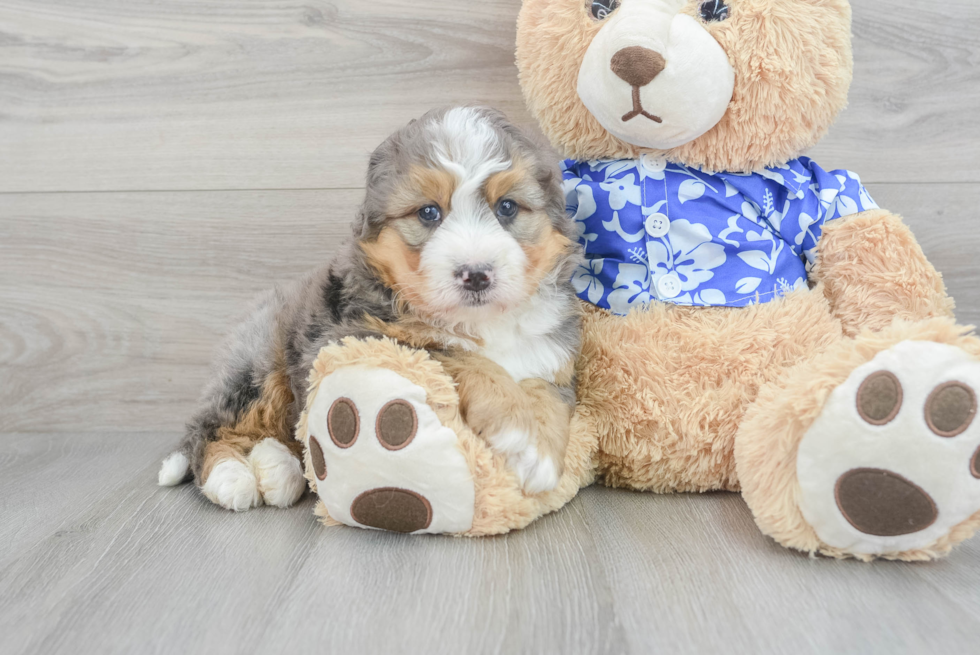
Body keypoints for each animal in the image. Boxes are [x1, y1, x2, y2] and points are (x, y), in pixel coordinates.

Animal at [159, 106, 580, 512]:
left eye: (507, 207)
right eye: (428, 213)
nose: (476, 274)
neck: (482, 323)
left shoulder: (551, 352)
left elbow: (547, 390)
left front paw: (541, 452)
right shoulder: (353, 336)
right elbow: (456, 354)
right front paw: (522, 434)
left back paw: (278, 468)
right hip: (258, 364)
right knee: (212, 429)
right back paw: (232, 477)